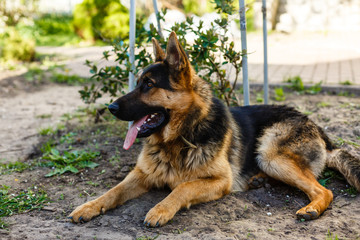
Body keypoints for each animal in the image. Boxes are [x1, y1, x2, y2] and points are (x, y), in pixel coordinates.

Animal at [68, 31, 360, 225]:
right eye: (138, 82)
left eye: (148, 85)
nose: (111, 108)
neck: (180, 137)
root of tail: (318, 128)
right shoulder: (141, 175)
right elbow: (113, 191)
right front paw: (89, 206)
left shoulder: (220, 181)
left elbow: (182, 187)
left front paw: (161, 209)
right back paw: (259, 180)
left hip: (270, 154)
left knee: (324, 190)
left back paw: (311, 208)